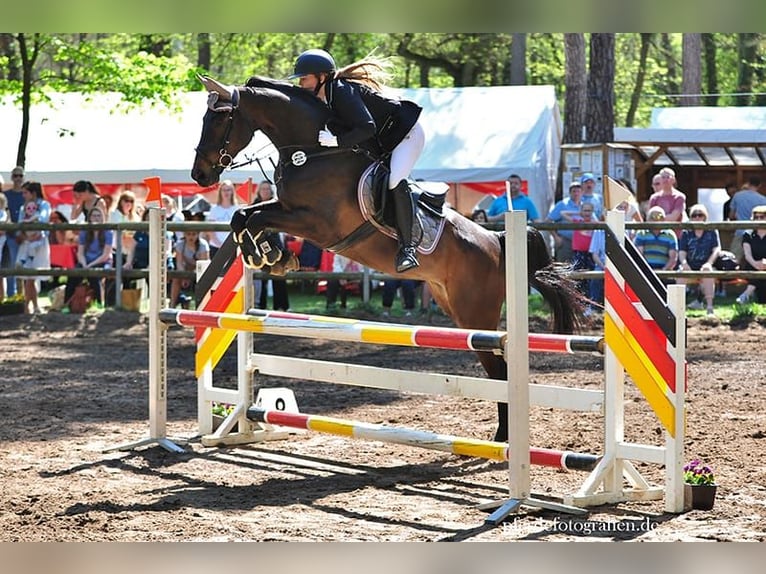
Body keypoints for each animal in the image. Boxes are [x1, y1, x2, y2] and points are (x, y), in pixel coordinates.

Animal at [190, 75, 584, 440]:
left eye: (220, 120)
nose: (199, 174)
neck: (312, 151)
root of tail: (496, 240)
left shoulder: (316, 223)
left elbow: (254, 218)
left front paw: (268, 254)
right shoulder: (286, 208)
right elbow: (244, 216)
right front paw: (271, 255)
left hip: (478, 313)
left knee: (500, 370)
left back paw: (504, 439)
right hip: (454, 306)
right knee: (495, 370)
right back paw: (502, 437)